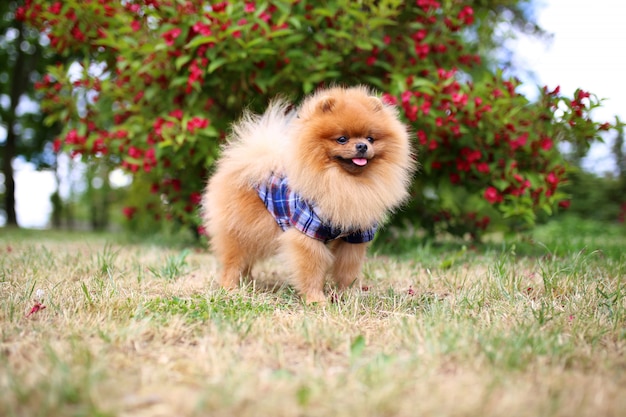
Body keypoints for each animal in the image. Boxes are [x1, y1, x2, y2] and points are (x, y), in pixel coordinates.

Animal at [202, 87, 412, 302]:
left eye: (370, 138)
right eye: (342, 139)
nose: (362, 146)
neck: (345, 182)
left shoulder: (354, 237)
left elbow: (348, 270)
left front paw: (348, 294)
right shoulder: (308, 232)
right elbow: (312, 269)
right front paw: (316, 300)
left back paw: (248, 283)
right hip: (241, 228)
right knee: (234, 260)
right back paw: (230, 288)